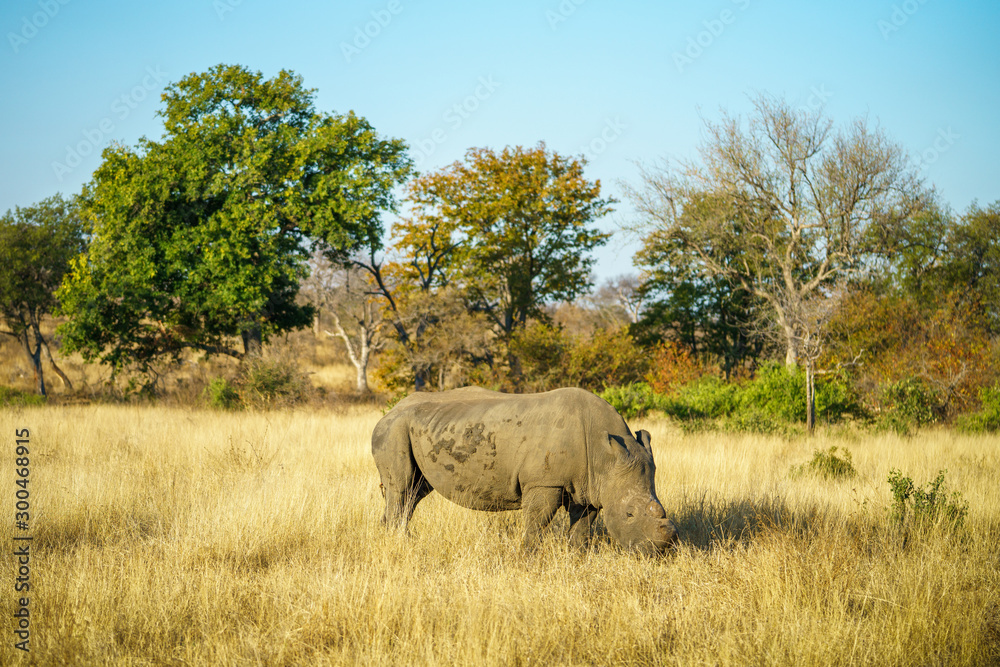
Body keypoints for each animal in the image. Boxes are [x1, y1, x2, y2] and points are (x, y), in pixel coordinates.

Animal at [371, 386, 678, 555]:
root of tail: (390, 411)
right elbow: (537, 521)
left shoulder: (590, 487)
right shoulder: (545, 481)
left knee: (414, 492)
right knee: (401, 488)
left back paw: (395, 538)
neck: (604, 456)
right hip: (392, 430)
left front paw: (576, 557)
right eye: (629, 514)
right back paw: (398, 543)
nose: (660, 550)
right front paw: (527, 557)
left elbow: (582, 526)